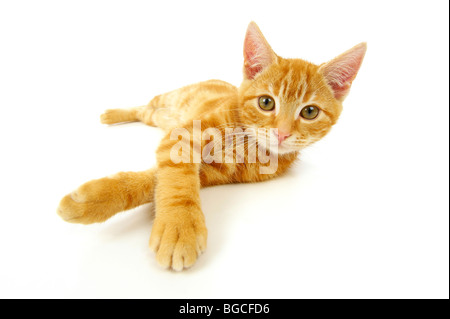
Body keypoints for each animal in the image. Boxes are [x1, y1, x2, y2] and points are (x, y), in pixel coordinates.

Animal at [57, 21, 366, 272]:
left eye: (310, 112)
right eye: (266, 102)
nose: (282, 133)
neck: (249, 145)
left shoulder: (215, 173)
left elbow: (156, 181)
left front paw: (97, 201)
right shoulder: (182, 137)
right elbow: (177, 180)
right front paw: (179, 225)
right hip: (165, 100)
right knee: (144, 105)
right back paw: (112, 114)